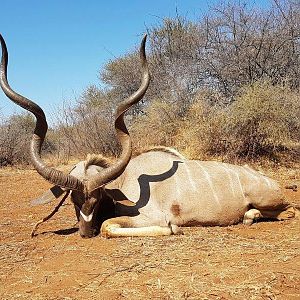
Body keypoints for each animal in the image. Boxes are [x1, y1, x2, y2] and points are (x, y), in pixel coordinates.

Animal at [0, 33, 296, 239]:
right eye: (74, 199)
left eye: (98, 197)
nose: (85, 232)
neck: (124, 180)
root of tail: (268, 180)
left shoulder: (148, 217)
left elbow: (110, 226)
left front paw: (173, 229)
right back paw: (249, 216)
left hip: (272, 200)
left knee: (290, 211)